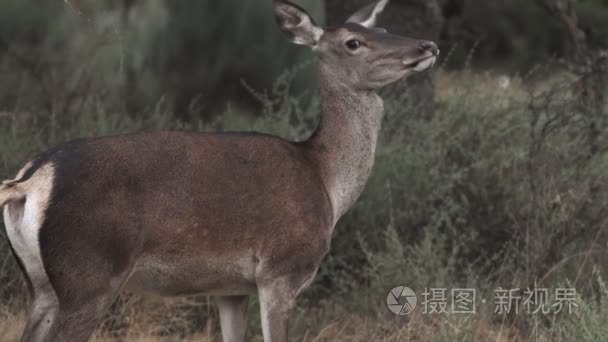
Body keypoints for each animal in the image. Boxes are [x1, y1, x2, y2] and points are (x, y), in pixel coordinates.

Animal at [0, 1, 436, 340]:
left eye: (382, 27)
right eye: (353, 42)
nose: (427, 45)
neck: (326, 183)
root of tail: (28, 181)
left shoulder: (231, 287)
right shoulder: (281, 269)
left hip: (41, 285)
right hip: (88, 276)